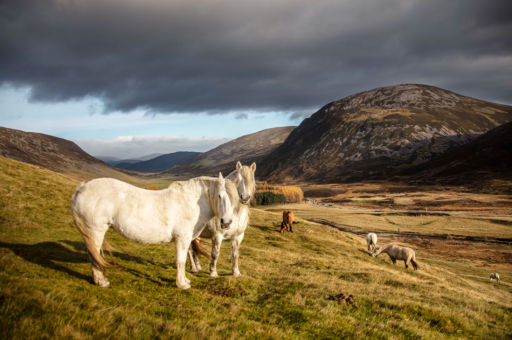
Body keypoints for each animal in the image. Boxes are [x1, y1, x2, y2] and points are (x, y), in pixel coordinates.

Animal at [72, 173, 240, 290]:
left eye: (235, 199)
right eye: (220, 196)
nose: (226, 223)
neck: (190, 202)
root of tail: (82, 187)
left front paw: (185, 280)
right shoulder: (182, 238)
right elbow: (181, 261)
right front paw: (182, 284)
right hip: (95, 232)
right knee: (93, 255)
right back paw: (102, 282)